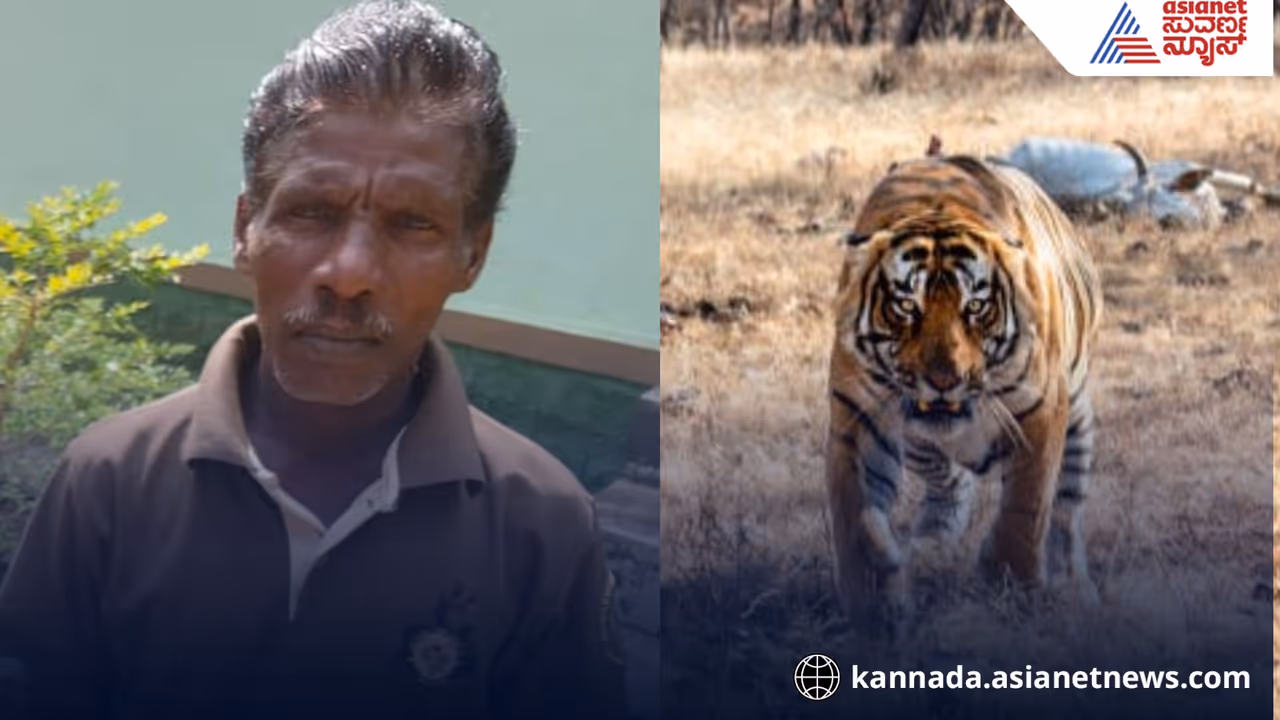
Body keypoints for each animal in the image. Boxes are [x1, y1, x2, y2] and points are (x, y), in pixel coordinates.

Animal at [825, 148, 1103, 629]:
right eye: (906, 305)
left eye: (975, 306)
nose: (944, 381)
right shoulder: (857, 415)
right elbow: (855, 511)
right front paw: (871, 598)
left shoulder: (1041, 411)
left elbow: (1024, 510)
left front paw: (1010, 586)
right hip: (920, 443)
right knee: (948, 483)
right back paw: (930, 542)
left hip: (1078, 418)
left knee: (1067, 509)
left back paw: (1073, 585)